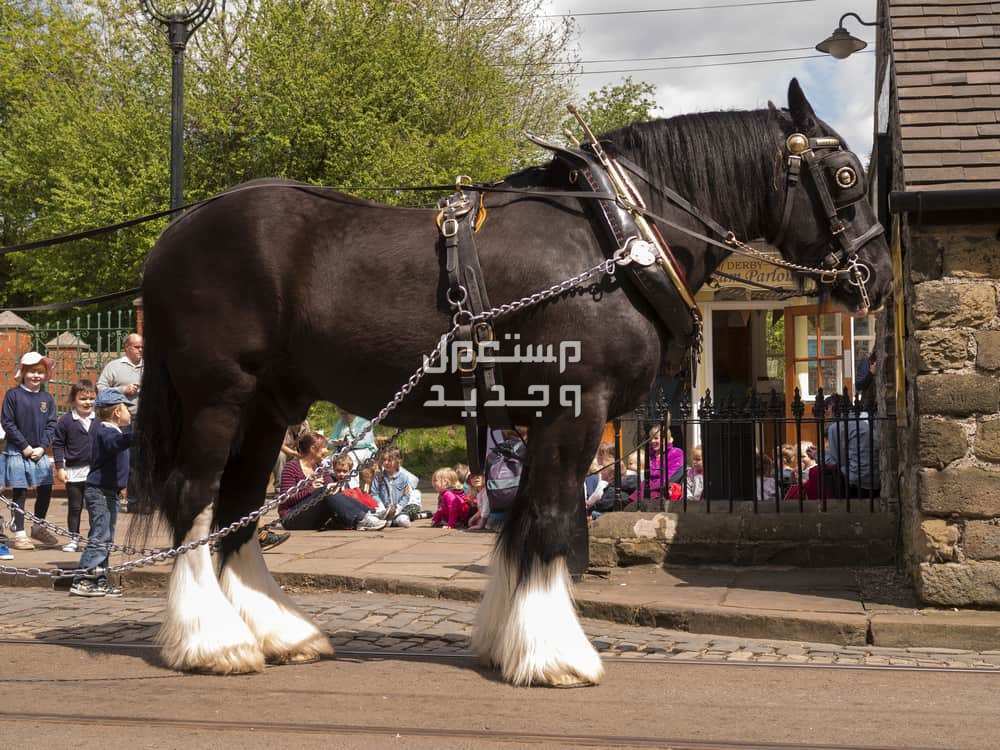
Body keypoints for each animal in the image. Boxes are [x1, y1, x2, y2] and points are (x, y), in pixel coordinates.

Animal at [133, 81, 892, 688]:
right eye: (846, 176)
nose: (879, 277)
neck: (616, 240)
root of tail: (175, 234)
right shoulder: (575, 408)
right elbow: (552, 521)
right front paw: (556, 654)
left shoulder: (539, 419)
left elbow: (524, 523)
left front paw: (511, 640)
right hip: (218, 396)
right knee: (194, 499)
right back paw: (212, 642)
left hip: (268, 406)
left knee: (236, 509)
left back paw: (277, 632)